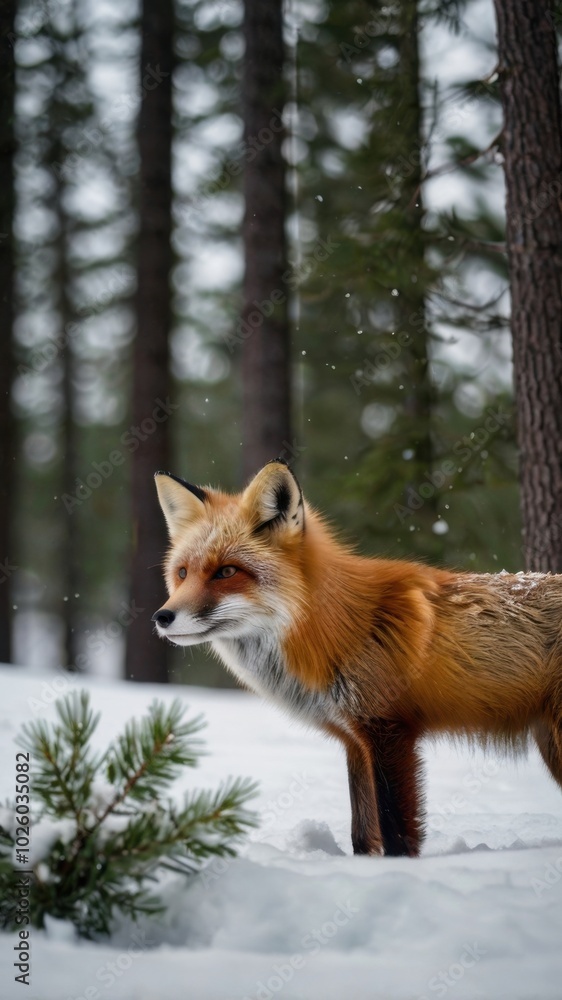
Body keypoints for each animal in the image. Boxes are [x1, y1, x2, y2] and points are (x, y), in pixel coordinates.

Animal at [152, 459, 562, 857]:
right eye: (183, 573)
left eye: (226, 571)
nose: (162, 617)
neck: (336, 629)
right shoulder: (354, 740)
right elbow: (362, 833)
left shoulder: (388, 730)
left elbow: (396, 830)